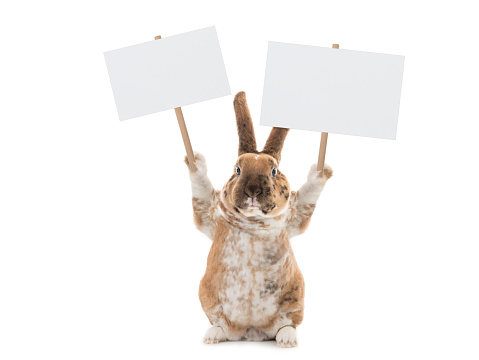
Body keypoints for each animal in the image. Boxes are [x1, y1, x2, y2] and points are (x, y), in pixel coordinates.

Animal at [185, 91, 334, 348]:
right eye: (237, 170)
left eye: (273, 171)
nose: (252, 190)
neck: (253, 221)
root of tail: (251, 331)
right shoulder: (209, 213)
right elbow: (201, 189)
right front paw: (195, 160)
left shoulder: (296, 214)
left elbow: (308, 193)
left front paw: (321, 169)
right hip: (209, 300)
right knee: (222, 327)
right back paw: (212, 335)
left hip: (295, 300)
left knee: (287, 324)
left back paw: (286, 340)